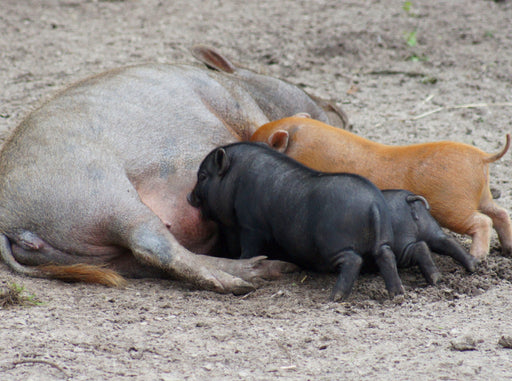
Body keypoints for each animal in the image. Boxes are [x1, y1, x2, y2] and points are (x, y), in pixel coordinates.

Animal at [0, 46, 348, 292]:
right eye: (298, 86)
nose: (339, 108)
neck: (238, 84)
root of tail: (12, 226)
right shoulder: (246, 110)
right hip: (105, 195)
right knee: (154, 245)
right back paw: (245, 280)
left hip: (113, 257)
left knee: (152, 259)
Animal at [186, 141, 406, 298]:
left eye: (203, 176)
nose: (188, 197)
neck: (236, 179)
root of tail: (373, 204)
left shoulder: (251, 226)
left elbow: (250, 250)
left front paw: (242, 260)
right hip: (383, 239)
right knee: (386, 256)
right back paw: (397, 295)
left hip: (334, 243)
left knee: (354, 260)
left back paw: (335, 297)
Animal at [252, 116, 512, 258]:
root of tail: (481, 156)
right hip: (483, 197)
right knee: (500, 213)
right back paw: (507, 250)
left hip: (452, 205)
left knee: (483, 221)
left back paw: (477, 256)